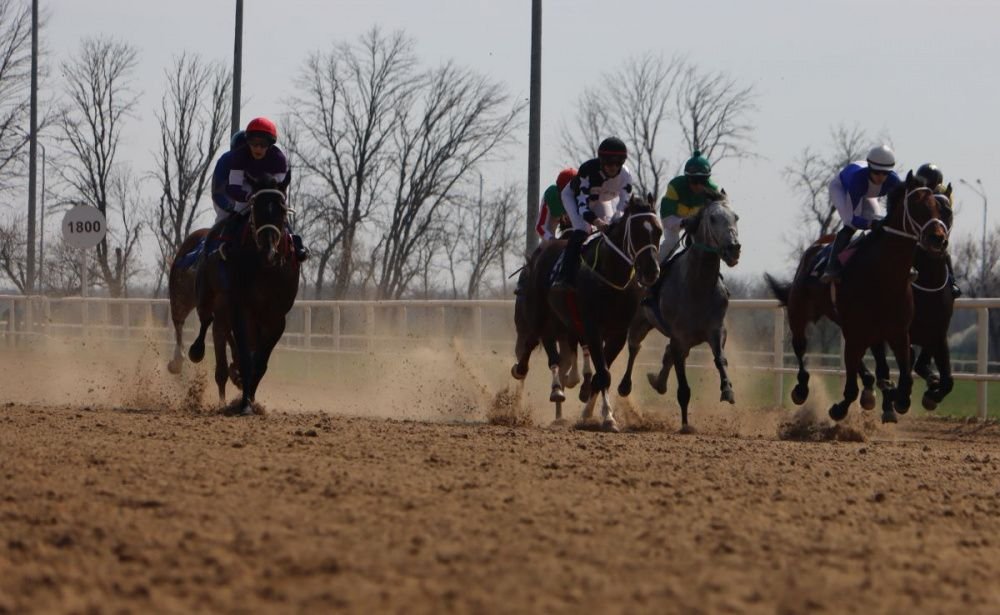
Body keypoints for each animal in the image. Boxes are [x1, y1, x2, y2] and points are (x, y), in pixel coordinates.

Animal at [187, 173, 296, 414]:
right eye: (256, 208)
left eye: (282, 209)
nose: (269, 250)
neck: (264, 268)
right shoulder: (240, 310)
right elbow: (247, 358)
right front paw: (244, 404)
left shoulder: (277, 319)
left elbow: (259, 363)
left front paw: (251, 399)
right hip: (207, 295)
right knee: (207, 322)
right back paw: (198, 352)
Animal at [512, 195, 660, 430]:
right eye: (636, 232)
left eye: (658, 231)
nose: (651, 271)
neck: (610, 276)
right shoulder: (591, 328)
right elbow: (602, 372)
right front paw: (607, 417)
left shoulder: (617, 333)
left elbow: (601, 374)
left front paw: (593, 413)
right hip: (539, 314)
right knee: (533, 344)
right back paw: (532, 377)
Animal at [612, 196, 740, 434]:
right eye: (712, 218)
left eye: (735, 217)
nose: (734, 248)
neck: (697, 285)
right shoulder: (680, 336)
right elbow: (683, 387)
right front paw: (686, 425)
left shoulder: (716, 329)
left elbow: (720, 358)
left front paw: (727, 389)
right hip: (639, 322)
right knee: (634, 347)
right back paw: (626, 385)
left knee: (666, 353)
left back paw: (658, 382)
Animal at [764, 172, 944, 424]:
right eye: (917, 205)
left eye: (937, 206)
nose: (939, 238)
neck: (884, 275)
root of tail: (815, 247)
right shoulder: (860, 329)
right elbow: (850, 386)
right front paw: (840, 408)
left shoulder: (898, 332)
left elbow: (904, 374)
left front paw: (898, 399)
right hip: (800, 312)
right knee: (800, 347)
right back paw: (802, 389)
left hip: (856, 327)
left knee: (863, 359)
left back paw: (872, 387)